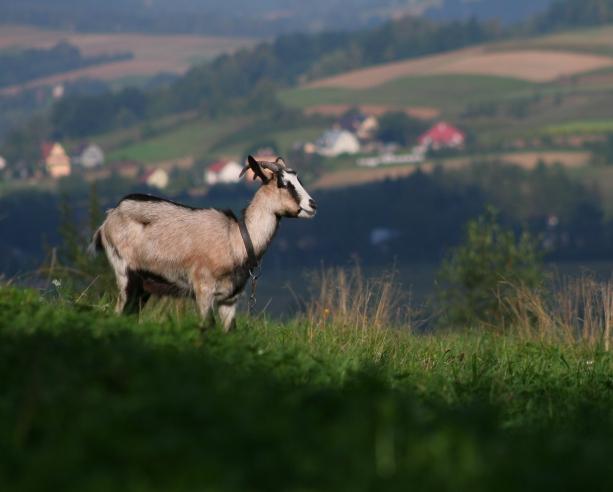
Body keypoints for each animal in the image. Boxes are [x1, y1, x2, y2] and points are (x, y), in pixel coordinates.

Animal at [92, 155, 320, 330]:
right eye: (283, 183)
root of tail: (109, 218)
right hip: (125, 272)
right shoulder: (203, 290)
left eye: (298, 179)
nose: (312, 205)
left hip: (145, 284)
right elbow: (207, 327)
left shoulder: (229, 300)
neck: (235, 239)